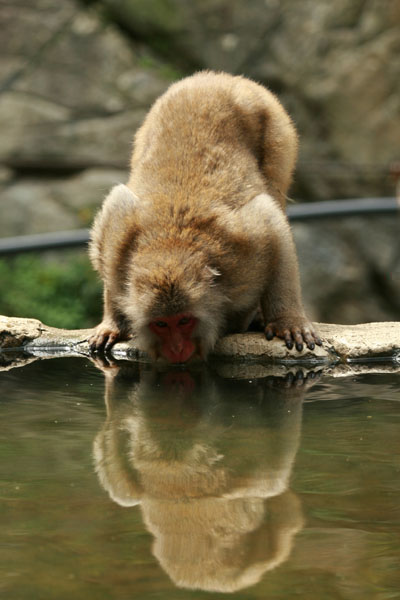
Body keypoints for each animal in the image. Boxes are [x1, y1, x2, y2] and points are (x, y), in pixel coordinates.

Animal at [89, 70, 320, 360]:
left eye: (184, 321)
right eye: (161, 324)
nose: (176, 349)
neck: (172, 244)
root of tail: (220, 77)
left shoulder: (247, 250)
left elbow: (272, 224)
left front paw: (286, 321)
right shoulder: (117, 247)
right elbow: (115, 209)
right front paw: (114, 324)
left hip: (278, 129)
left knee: (274, 189)